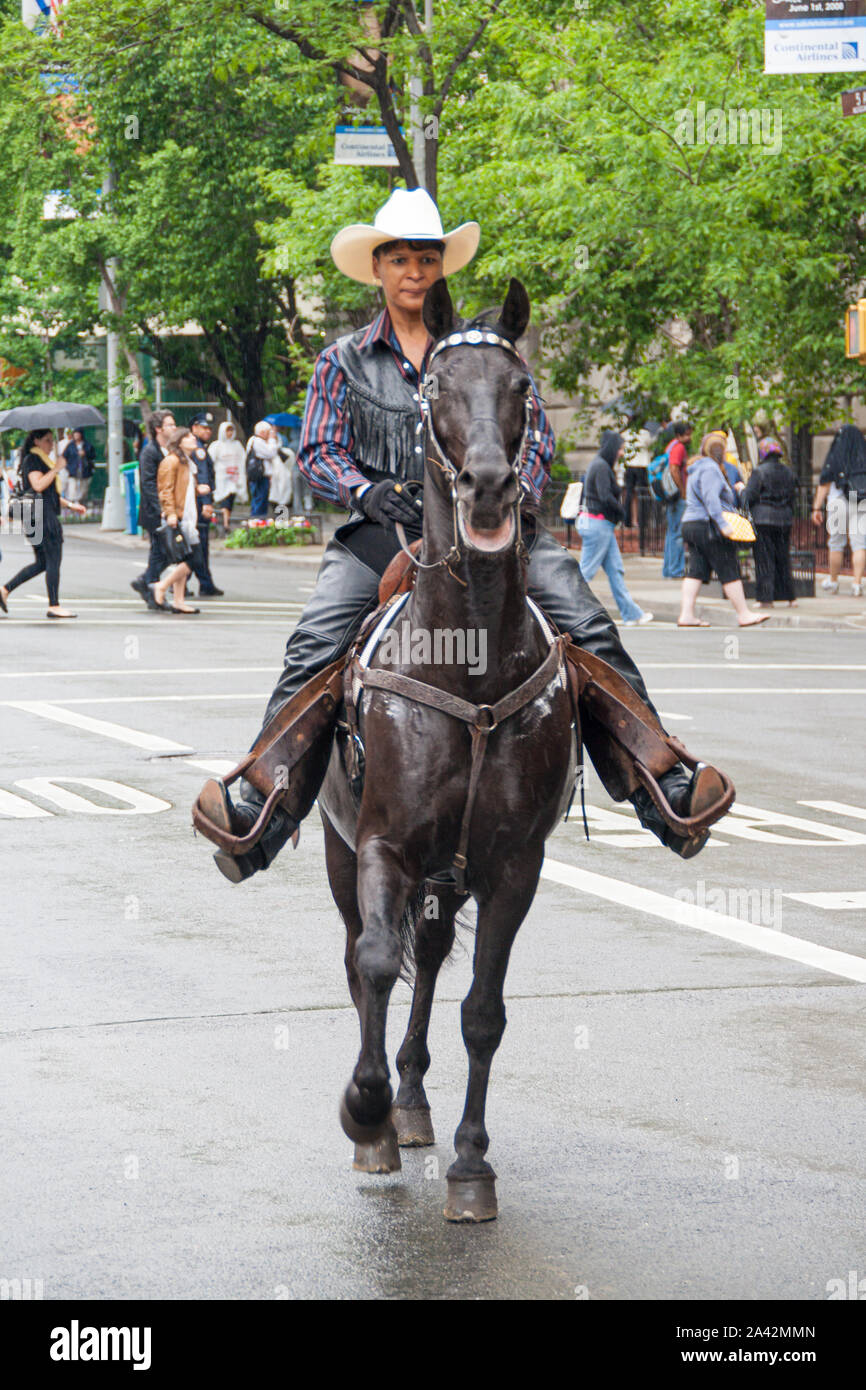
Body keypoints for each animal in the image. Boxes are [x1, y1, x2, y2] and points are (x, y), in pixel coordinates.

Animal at [315, 273, 578, 1217]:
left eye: (524, 389)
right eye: (433, 388)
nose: (492, 487)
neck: (467, 664)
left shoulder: (513, 865)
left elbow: (483, 1011)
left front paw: (470, 1162)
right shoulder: (382, 845)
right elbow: (372, 962)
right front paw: (363, 1117)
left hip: (448, 874)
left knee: (429, 964)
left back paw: (415, 1099)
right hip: (340, 850)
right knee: (366, 960)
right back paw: (384, 1115)